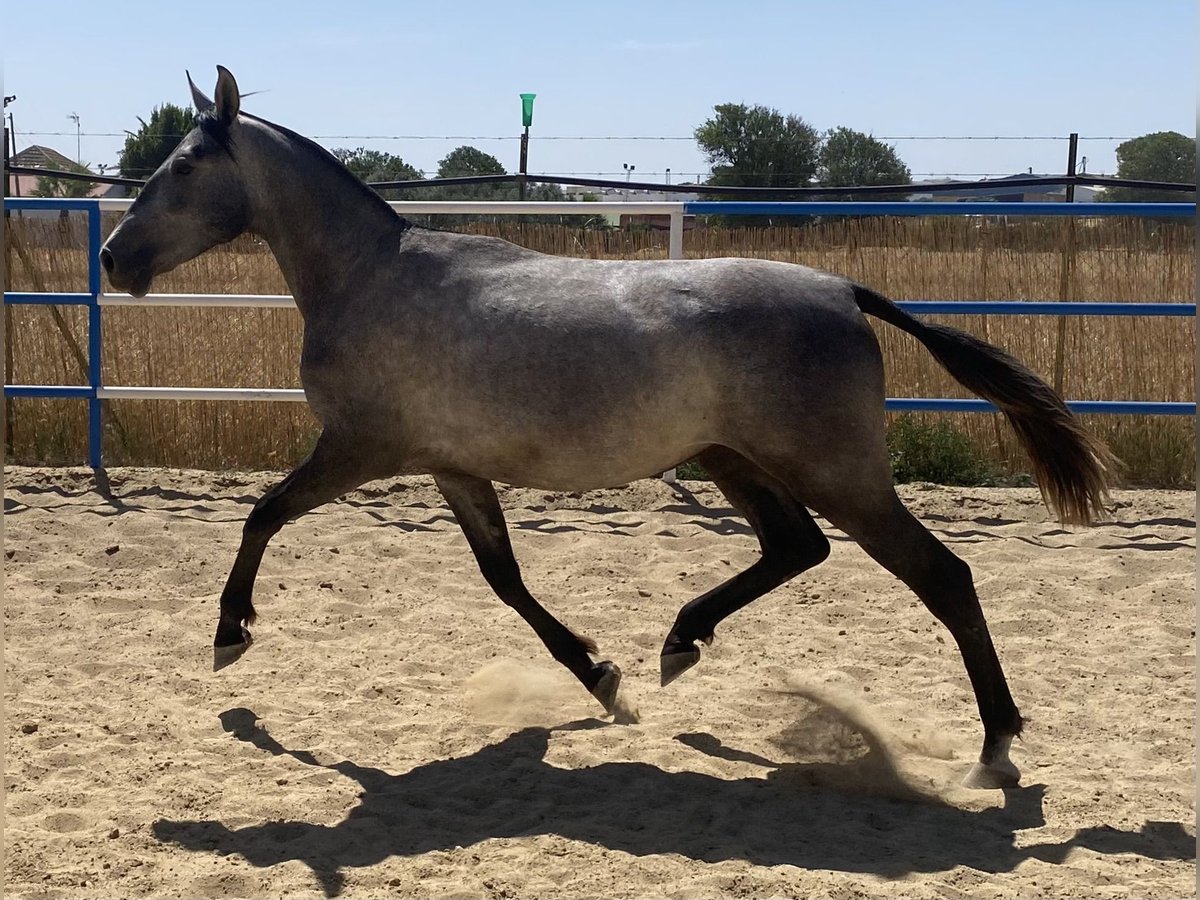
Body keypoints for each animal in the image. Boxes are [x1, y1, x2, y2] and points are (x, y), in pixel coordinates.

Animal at [103, 68, 1113, 787]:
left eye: (183, 166)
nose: (114, 257)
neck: (370, 277)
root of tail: (842, 290)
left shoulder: (360, 449)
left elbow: (263, 515)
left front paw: (230, 634)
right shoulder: (451, 468)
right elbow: (505, 579)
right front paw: (600, 676)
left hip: (836, 472)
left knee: (942, 575)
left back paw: (996, 746)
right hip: (732, 458)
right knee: (797, 548)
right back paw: (679, 644)